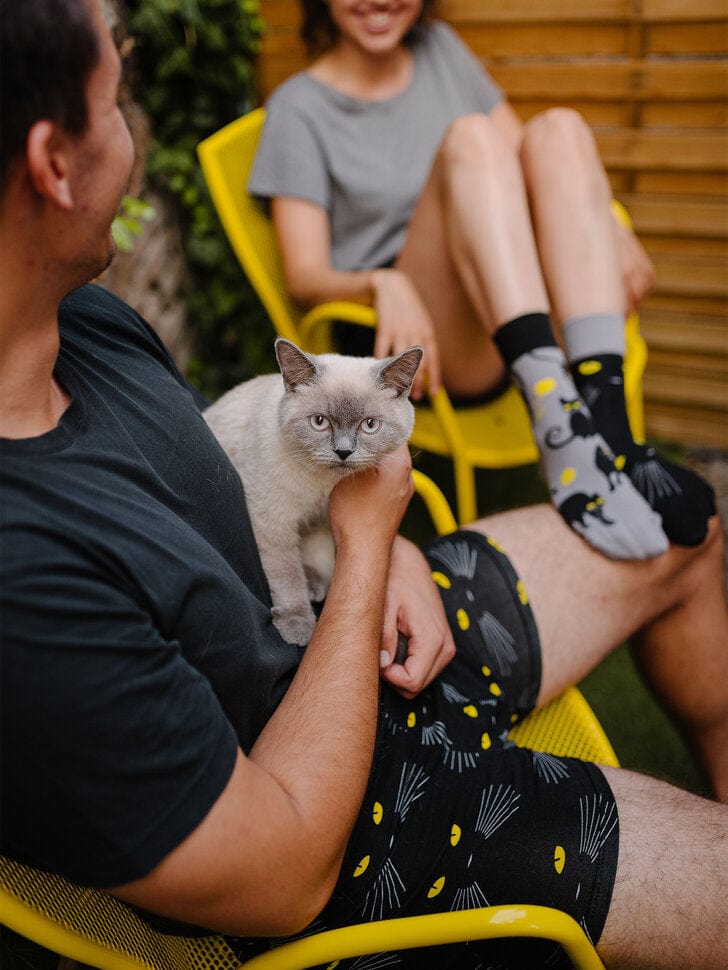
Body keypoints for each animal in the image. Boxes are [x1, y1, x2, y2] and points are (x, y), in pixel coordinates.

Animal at [202, 336, 424, 648]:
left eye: (369, 425)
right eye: (320, 422)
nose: (343, 452)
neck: (323, 489)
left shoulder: (319, 520)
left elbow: (318, 556)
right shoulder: (272, 519)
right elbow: (287, 575)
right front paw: (298, 626)